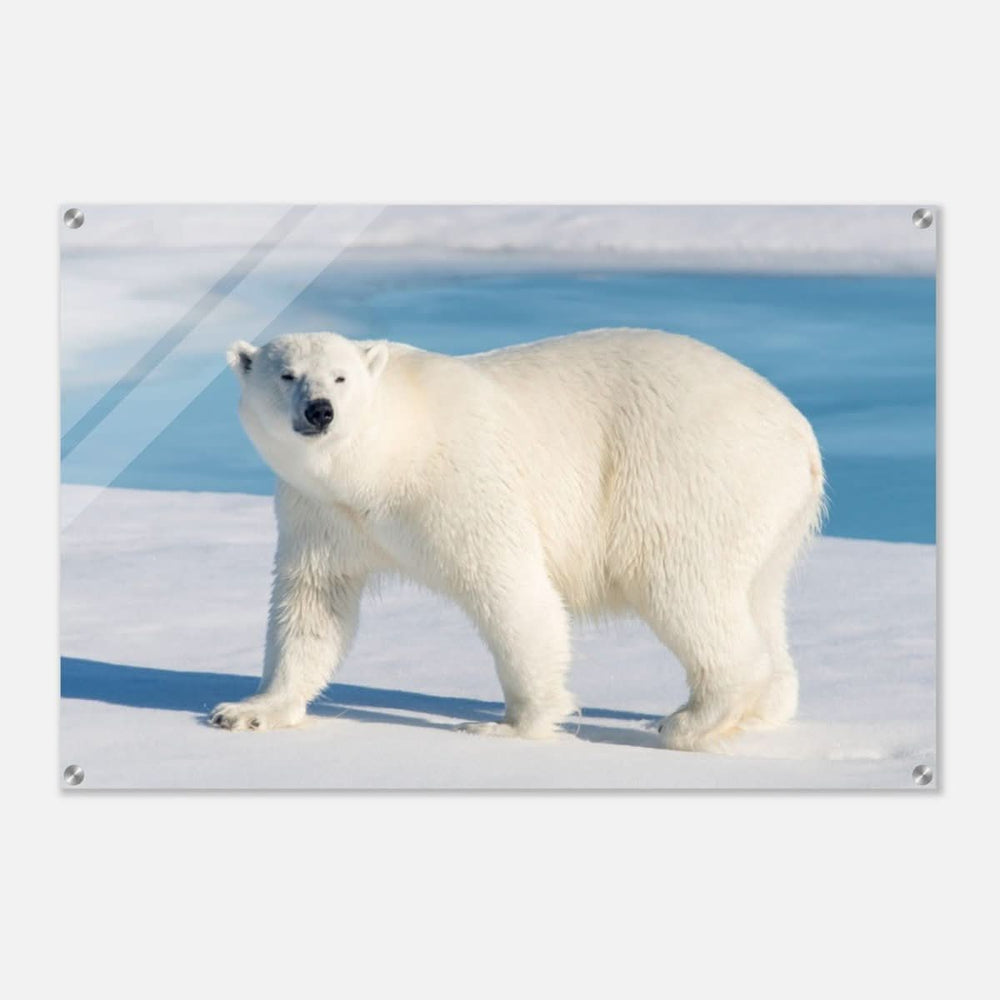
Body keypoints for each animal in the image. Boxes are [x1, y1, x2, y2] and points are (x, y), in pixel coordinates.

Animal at [209, 328, 824, 751]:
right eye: (286, 374)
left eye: (341, 377)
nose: (321, 411)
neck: (384, 460)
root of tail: (800, 431)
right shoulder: (321, 512)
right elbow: (313, 603)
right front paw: (247, 710)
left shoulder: (459, 482)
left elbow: (511, 589)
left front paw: (508, 725)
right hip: (769, 512)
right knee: (758, 596)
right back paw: (764, 708)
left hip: (687, 476)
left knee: (682, 587)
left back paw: (689, 720)